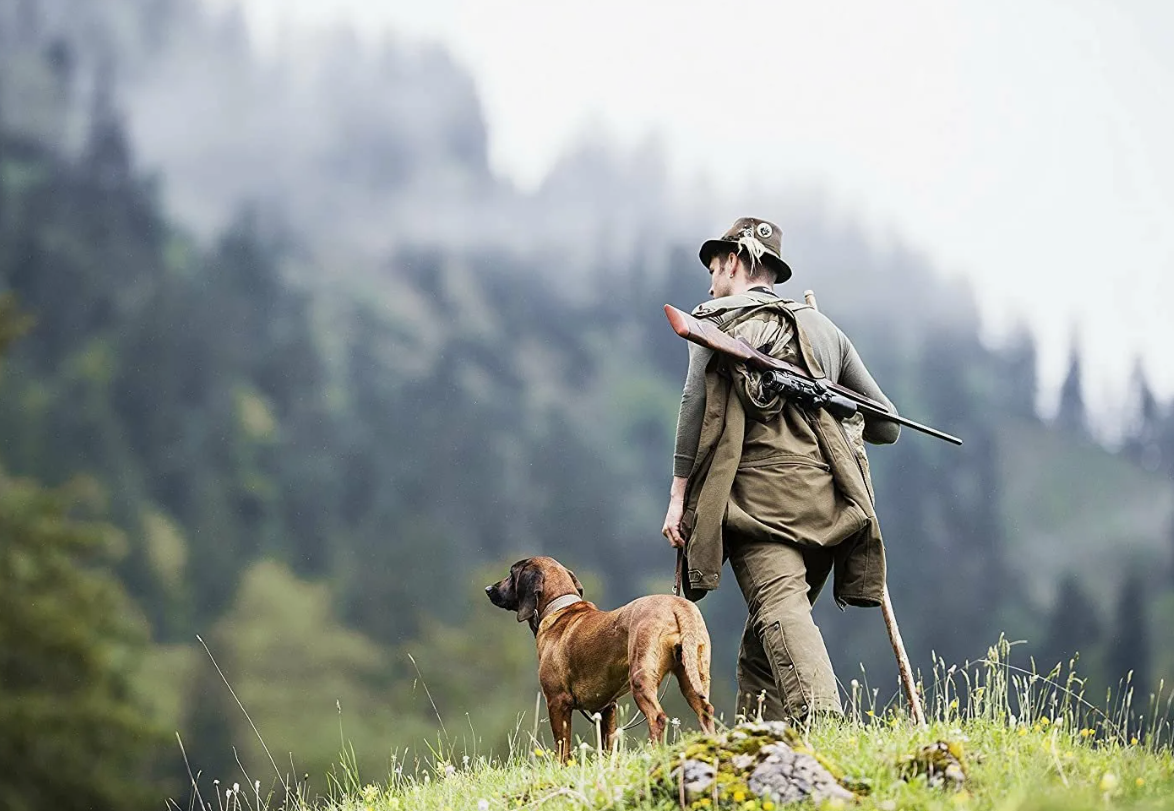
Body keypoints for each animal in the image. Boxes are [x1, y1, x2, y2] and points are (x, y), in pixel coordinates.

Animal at [486, 556, 713, 760]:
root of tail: (677, 604)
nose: (488, 589)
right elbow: (607, 745)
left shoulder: (557, 701)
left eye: (511, 573)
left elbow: (562, 747)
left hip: (641, 678)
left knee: (657, 718)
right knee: (706, 711)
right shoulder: (607, 707)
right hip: (693, 677)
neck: (559, 607)